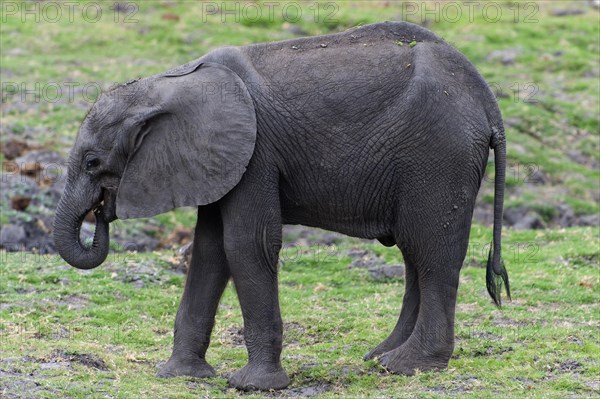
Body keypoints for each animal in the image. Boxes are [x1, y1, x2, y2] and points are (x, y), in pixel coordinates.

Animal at [54, 21, 508, 390]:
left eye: (93, 162)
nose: (102, 212)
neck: (169, 83)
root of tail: (487, 100)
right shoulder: (221, 161)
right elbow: (210, 251)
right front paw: (180, 376)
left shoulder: (255, 154)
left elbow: (246, 244)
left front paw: (253, 385)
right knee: (416, 255)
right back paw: (381, 358)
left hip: (440, 156)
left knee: (431, 252)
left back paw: (409, 366)